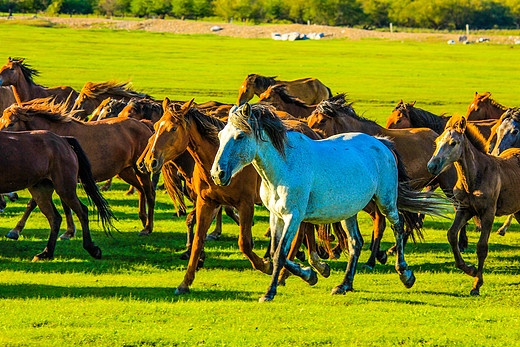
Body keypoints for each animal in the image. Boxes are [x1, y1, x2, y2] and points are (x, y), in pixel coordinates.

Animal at [0, 99, 155, 238]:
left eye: (11, 123)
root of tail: (144, 124)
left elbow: (33, 203)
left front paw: (15, 230)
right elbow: (65, 206)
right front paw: (69, 231)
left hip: (141, 170)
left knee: (150, 193)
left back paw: (148, 228)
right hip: (125, 171)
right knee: (141, 190)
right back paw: (143, 219)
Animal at [0, 130, 113, 260]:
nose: (13, 197)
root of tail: (63, 140)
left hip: (65, 188)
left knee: (82, 211)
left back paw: (92, 249)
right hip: (41, 189)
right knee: (55, 217)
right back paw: (46, 253)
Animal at [139, 99, 334, 294]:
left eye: (173, 129)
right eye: (155, 126)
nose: (149, 162)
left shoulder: (245, 204)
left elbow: (245, 243)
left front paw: (266, 265)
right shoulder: (206, 203)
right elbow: (198, 240)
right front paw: (185, 282)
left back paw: (290, 272)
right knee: (304, 230)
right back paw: (309, 267)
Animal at [211, 102, 446, 302]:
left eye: (240, 136)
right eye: (221, 135)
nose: (217, 174)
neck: (284, 166)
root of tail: (381, 143)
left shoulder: (293, 216)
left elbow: (280, 254)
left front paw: (270, 292)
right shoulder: (276, 216)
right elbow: (278, 251)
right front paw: (312, 273)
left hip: (386, 200)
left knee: (398, 226)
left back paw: (405, 273)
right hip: (349, 211)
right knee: (355, 243)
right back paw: (344, 285)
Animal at [426, 114, 520, 296]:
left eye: (453, 142)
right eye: (438, 141)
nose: (432, 166)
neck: (475, 176)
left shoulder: (488, 213)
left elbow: (482, 247)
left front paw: (477, 284)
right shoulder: (464, 209)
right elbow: (452, 234)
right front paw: (470, 269)